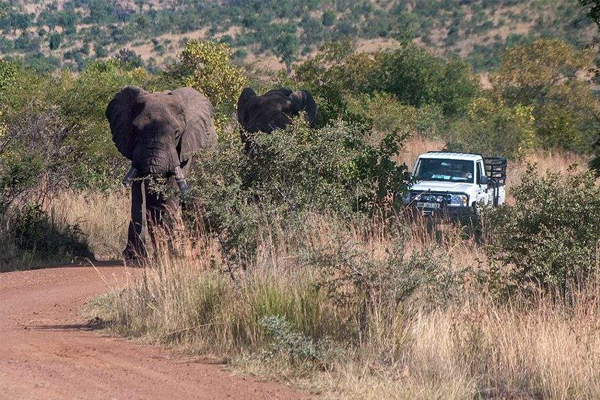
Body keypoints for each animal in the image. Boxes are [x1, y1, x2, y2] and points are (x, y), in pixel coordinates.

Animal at [106, 86, 218, 260]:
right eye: (134, 131)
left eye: (177, 133)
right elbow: (140, 193)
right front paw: (134, 256)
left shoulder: (185, 150)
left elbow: (171, 190)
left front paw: (170, 254)